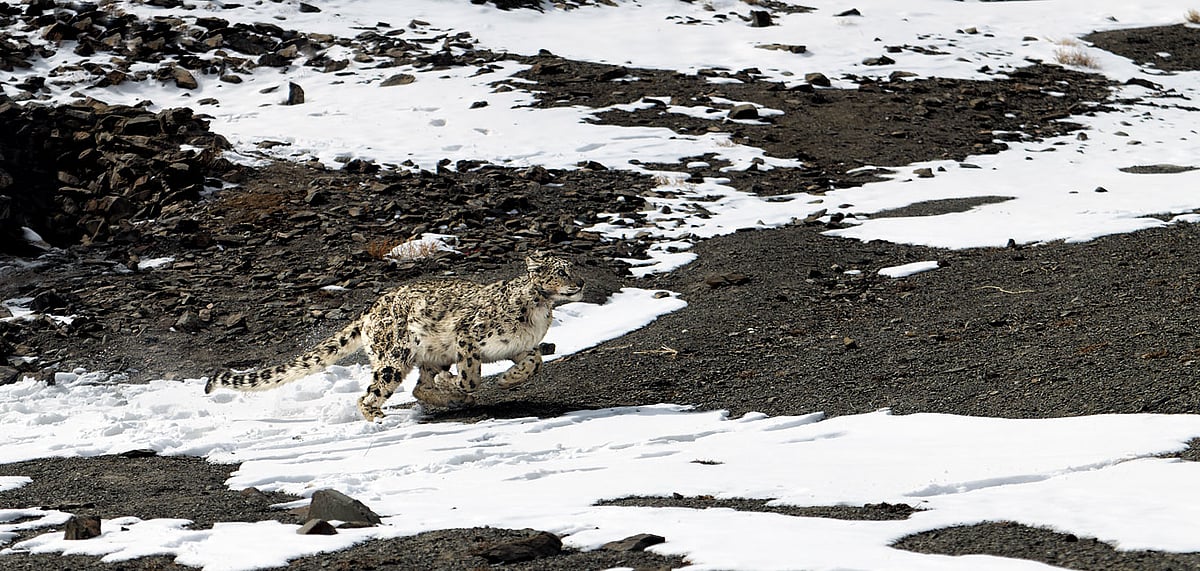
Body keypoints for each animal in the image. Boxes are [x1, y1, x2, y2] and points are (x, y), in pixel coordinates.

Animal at [204, 254, 584, 421]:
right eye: (561, 271)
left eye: (574, 268)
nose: (580, 283)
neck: (540, 312)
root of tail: (370, 309)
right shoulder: (468, 336)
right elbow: (471, 375)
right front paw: (464, 385)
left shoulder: (521, 347)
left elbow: (534, 361)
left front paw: (507, 379)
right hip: (394, 356)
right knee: (371, 394)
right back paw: (382, 417)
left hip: (427, 354)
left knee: (419, 385)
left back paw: (444, 397)